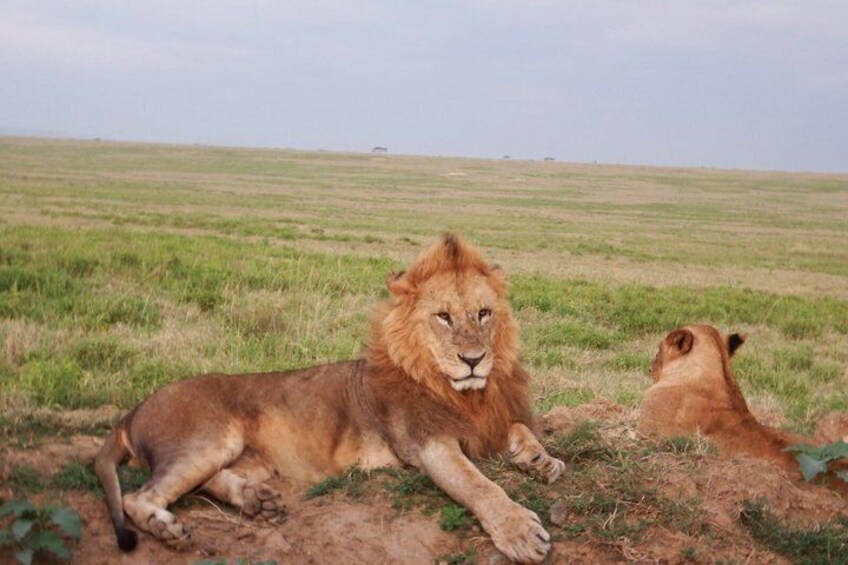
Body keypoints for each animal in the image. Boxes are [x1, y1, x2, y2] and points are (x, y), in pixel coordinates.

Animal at [95, 234, 564, 563]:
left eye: (484, 314)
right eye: (443, 317)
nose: (474, 360)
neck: (463, 393)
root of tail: (132, 412)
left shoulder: (489, 419)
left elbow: (520, 429)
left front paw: (541, 460)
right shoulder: (428, 443)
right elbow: (478, 485)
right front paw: (520, 532)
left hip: (249, 459)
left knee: (209, 480)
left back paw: (256, 501)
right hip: (209, 437)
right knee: (139, 497)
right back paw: (168, 529)